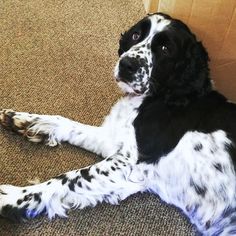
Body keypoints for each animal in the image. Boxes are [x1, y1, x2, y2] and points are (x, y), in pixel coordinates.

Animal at [0, 13, 236, 236]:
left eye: (165, 48)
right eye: (136, 35)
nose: (127, 64)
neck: (162, 97)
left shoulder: (128, 164)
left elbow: (68, 178)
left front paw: (12, 197)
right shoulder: (117, 142)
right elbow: (68, 124)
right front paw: (27, 120)